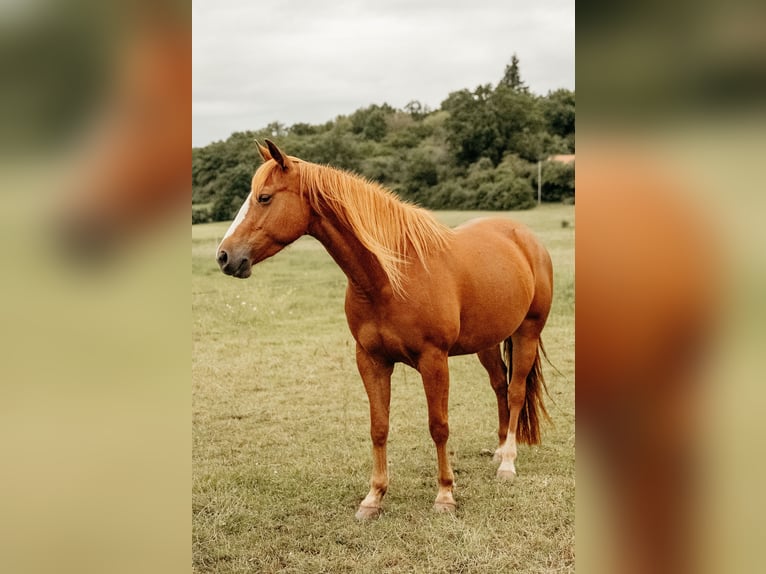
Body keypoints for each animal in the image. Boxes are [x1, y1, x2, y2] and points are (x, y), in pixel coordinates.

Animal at [216, 139, 553, 519]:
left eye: (264, 197)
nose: (225, 256)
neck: (391, 277)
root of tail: (523, 237)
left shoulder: (434, 360)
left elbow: (438, 426)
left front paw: (445, 494)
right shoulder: (371, 360)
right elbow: (379, 427)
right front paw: (374, 497)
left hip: (527, 333)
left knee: (516, 392)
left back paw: (507, 462)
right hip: (488, 342)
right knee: (499, 387)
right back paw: (498, 450)